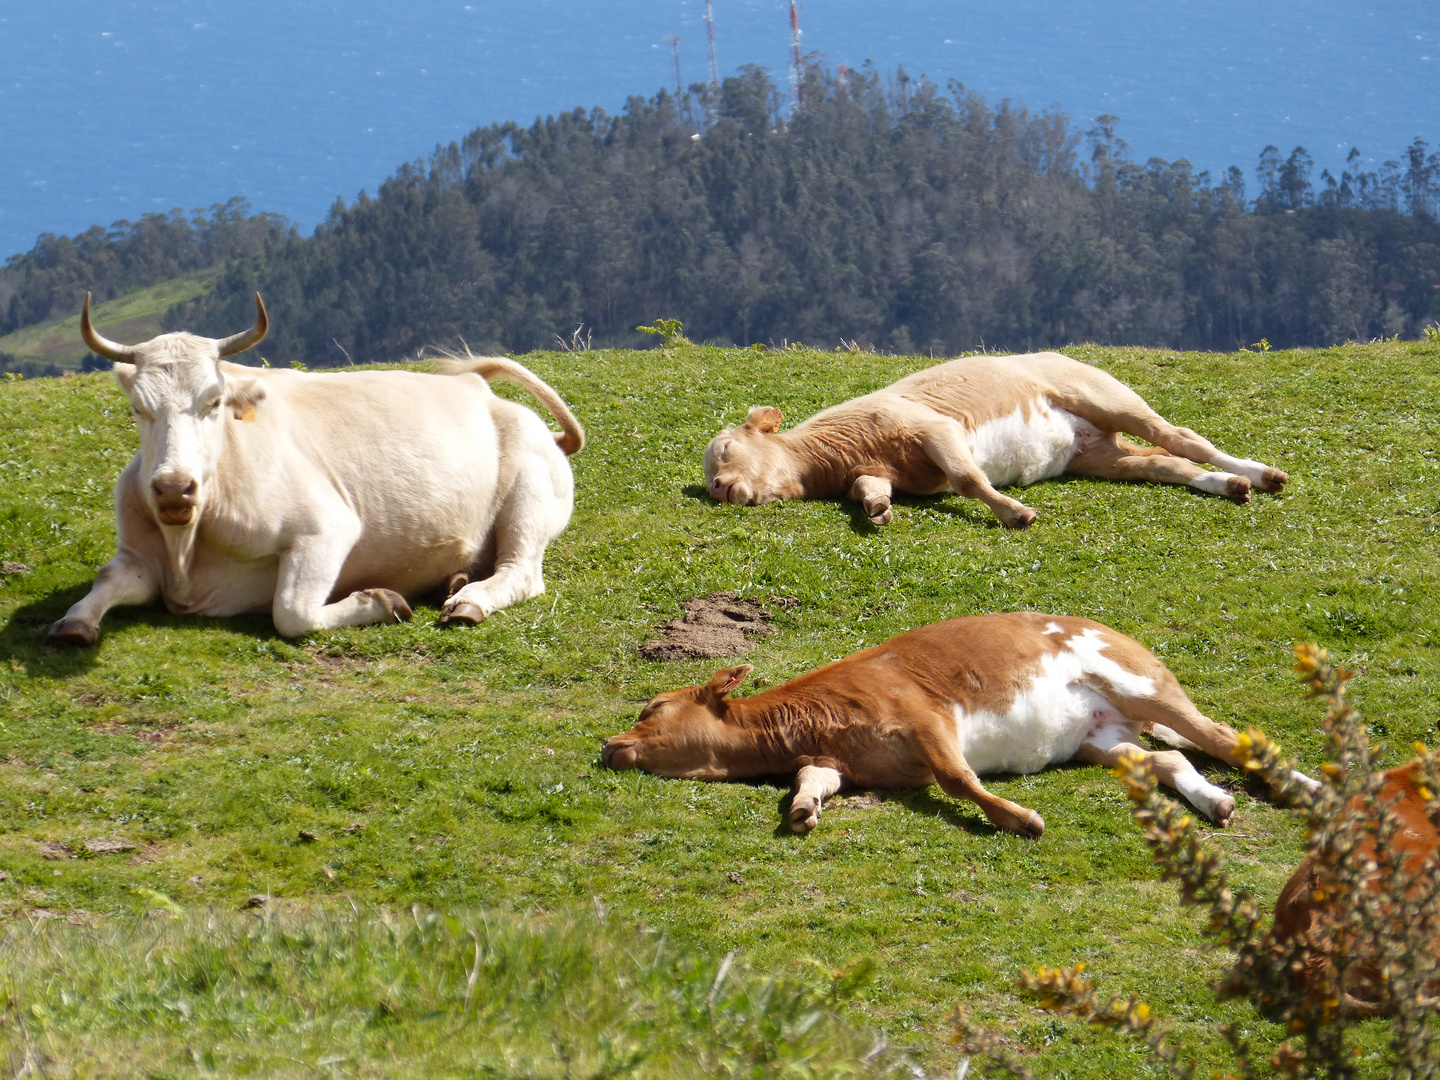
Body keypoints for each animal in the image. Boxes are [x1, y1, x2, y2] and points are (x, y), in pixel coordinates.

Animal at [49, 292, 584, 648]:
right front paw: (73, 622)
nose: (175, 489)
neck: (188, 551)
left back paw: (468, 600)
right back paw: (453, 581)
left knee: (520, 571)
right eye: (139, 408)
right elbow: (107, 579)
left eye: (214, 401)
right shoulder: (138, 554)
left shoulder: (325, 528)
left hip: (529, 499)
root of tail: (479, 388)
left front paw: (381, 602)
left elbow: (291, 612)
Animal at [599, 616, 1307, 835]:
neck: (811, 719)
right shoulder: (830, 759)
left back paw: (1306, 790)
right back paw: (1216, 804)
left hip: (1142, 684)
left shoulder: (927, 719)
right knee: (1172, 759)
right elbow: (811, 783)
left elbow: (958, 779)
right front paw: (802, 811)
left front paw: (1021, 819)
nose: (609, 745)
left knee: (1225, 739)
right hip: (1103, 738)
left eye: (651, 707)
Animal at [702, 351, 1290, 529]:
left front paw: (1014, 513)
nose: (720, 490)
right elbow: (872, 492)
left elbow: (966, 477)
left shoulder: (933, 429)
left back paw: (1261, 473)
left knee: (1180, 435)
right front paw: (877, 511)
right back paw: (1231, 485)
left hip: (1103, 395)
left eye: (726, 451)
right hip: (1100, 455)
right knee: (1167, 462)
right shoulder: (875, 469)